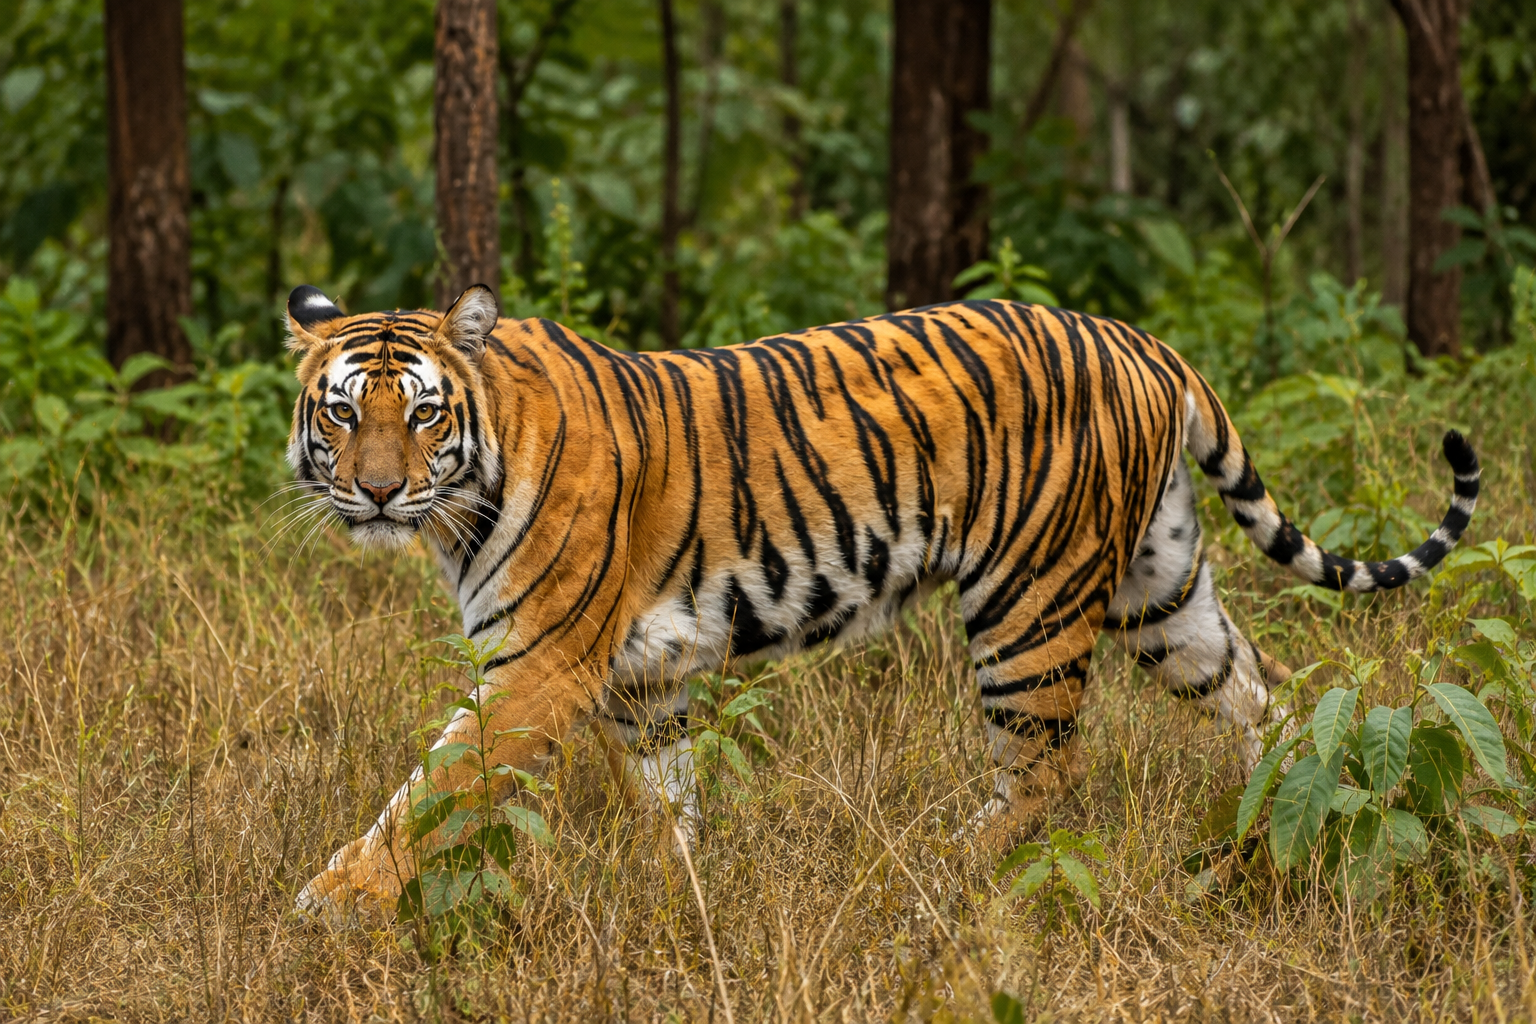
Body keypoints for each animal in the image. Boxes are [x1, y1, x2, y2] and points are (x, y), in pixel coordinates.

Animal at [282, 282, 1479, 920]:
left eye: (423, 413)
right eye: (342, 412)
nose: (376, 490)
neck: (461, 495)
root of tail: (1140, 339)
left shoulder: (539, 665)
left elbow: (428, 791)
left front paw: (329, 905)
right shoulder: (641, 680)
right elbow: (668, 809)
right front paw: (681, 908)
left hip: (1030, 604)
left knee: (1047, 775)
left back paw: (926, 879)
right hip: (1163, 595)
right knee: (1266, 704)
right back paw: (1264, 846)